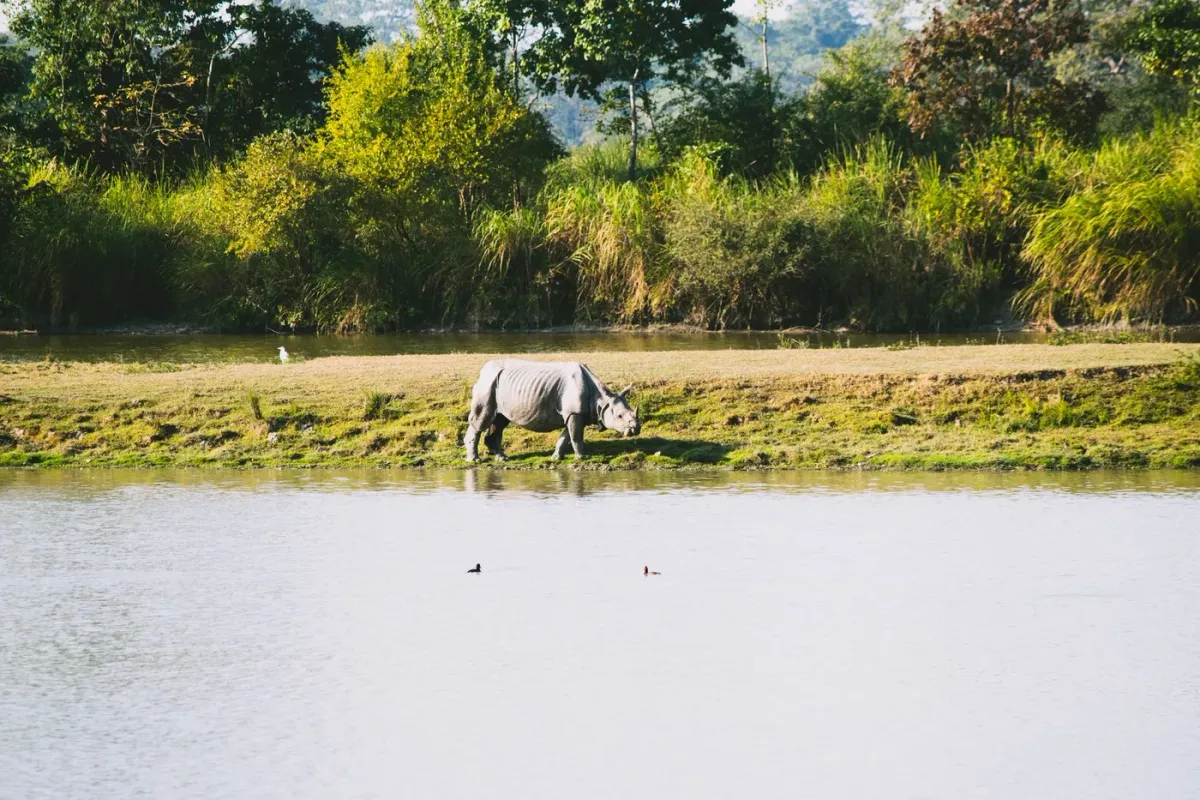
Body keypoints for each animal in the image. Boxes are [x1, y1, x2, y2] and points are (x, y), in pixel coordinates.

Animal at [464, 359, 641, 462]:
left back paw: (502, 458)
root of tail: (482, 371)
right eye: (619, 416)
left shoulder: (573, 414)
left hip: (498, 385)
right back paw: (475, 460)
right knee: (483, 420)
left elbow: (566, 436)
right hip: (488, 385)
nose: (636, 428)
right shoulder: (575, 412)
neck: (601, 401)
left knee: (499, 420)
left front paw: (556, 457)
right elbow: (576, 436)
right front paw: (583, 457)